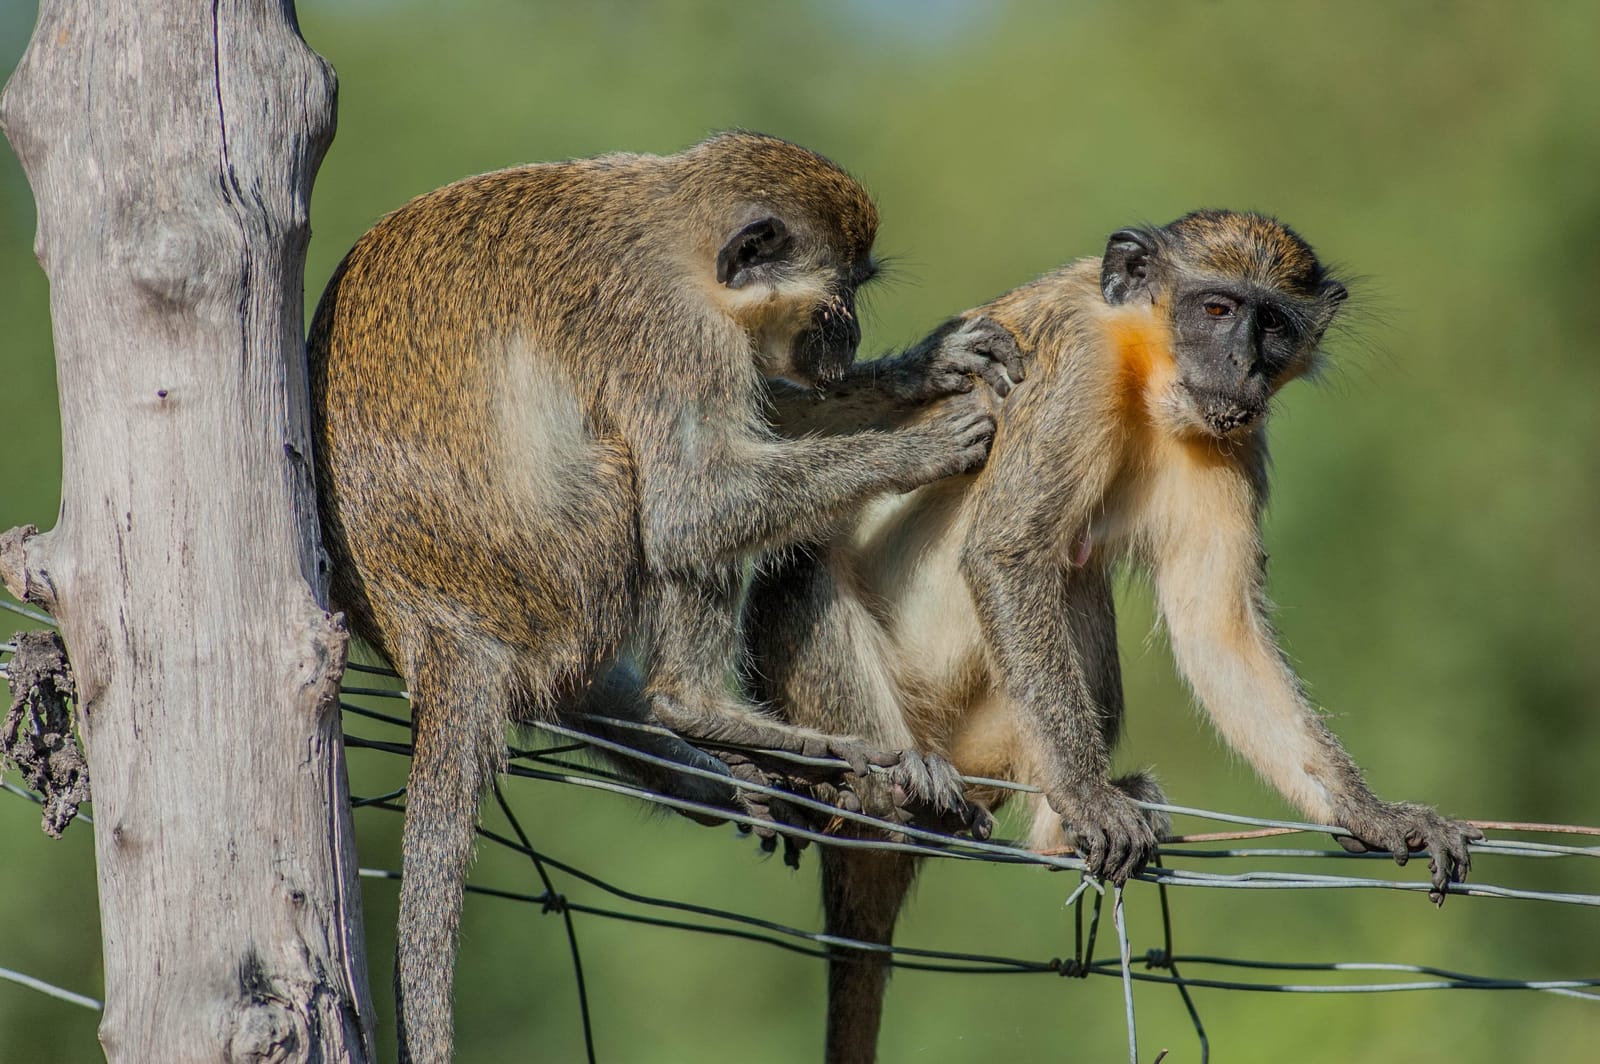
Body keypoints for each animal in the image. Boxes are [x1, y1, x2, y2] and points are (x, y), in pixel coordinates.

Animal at [308, 132, 1010, 1062]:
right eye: (840, 295)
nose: (850, 334)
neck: (677, 236)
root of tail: (438, 630)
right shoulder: (673, 336)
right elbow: (691, 508)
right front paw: (919, 446)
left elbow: (757, 428)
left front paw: (924, 368)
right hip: (563, 570)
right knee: (646, 494)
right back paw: (699, 711)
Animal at [744, 210, 1483, 1062]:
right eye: (1217, 309)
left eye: (1272, 325)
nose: (1242, 366)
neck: (1143, 359)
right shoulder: (1072, 372)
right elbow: (1008, 553)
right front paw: (1087, 798)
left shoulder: (1229, 437)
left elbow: (1217, 632)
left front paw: (1368, 812)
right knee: (804, 568)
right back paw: (903, 792)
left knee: (1080, 576)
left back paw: (1051, 831)